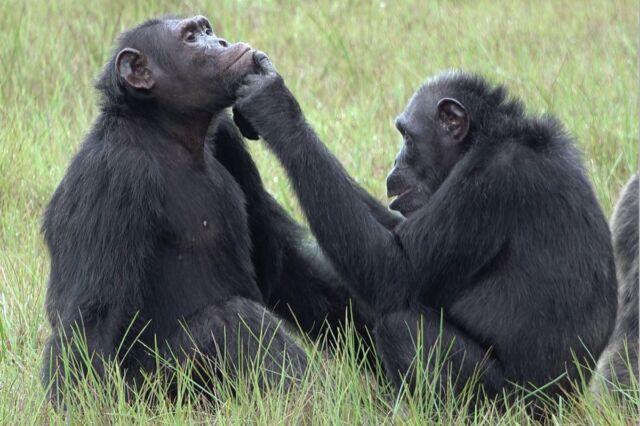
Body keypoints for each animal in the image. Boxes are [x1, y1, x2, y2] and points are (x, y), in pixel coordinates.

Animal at [41, 15, 370, 402]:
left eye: (206, 30)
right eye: (190, 38)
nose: (221, 42)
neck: (168, 132)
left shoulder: (229, 139)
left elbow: (284, 267)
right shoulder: (112, 174)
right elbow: (92, 320)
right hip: (156, 394)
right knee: (233, 320)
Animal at [234, 55, 620, 404]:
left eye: (406, 135)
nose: (395, 160)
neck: (484, 139)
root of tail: (569, 404)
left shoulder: (492, 182)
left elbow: (395, 269)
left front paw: (275, 107)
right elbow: (394, 234)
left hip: (506, 405)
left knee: (400, 326)